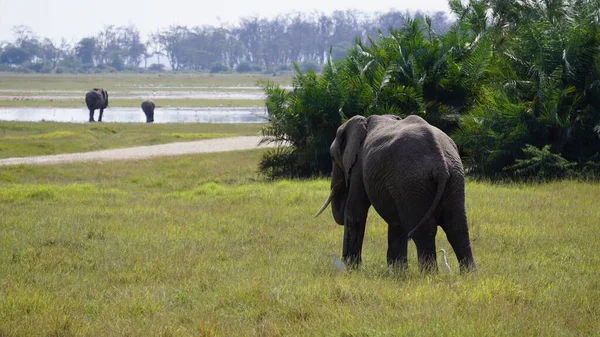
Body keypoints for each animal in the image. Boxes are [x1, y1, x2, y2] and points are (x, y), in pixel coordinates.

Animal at [314, 114, 478, 272]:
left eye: (332, 158)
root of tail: (441, 164)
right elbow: (395, 221)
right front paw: (398, 272)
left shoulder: (359, 166)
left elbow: (355, 211)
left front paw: (351, 268)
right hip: (453, 178)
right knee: (456, 227)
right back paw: (469, 275)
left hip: (412, 183)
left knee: (424, 231)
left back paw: (429, 275)